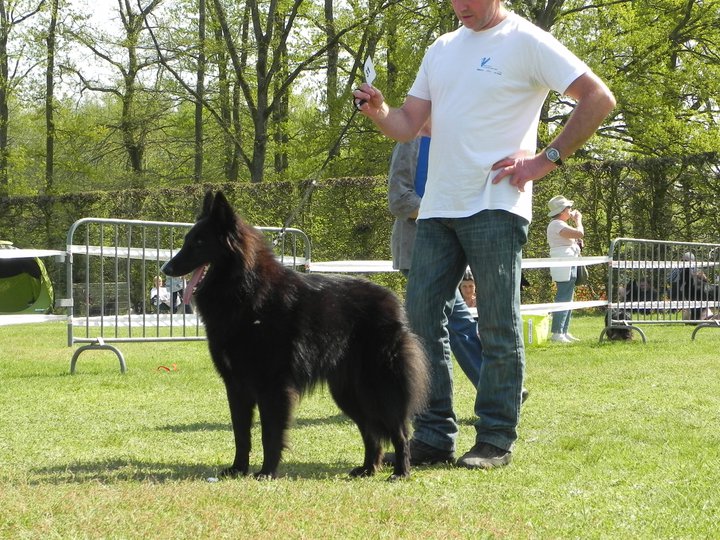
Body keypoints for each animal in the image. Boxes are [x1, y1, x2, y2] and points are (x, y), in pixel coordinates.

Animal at [163, 191, 428, 480]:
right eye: (187, 240)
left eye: (199, 242)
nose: (166, 268)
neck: (247, 292)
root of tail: (394, 302)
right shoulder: (236, 385)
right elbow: (241, 434)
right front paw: (238, 469)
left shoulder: (273, 386)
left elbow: (270, 434)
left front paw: (267, 472)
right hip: (348, 392)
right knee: (370, 430)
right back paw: (368, 468)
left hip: (379, 386)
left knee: (400, 431)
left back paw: (401, 471)